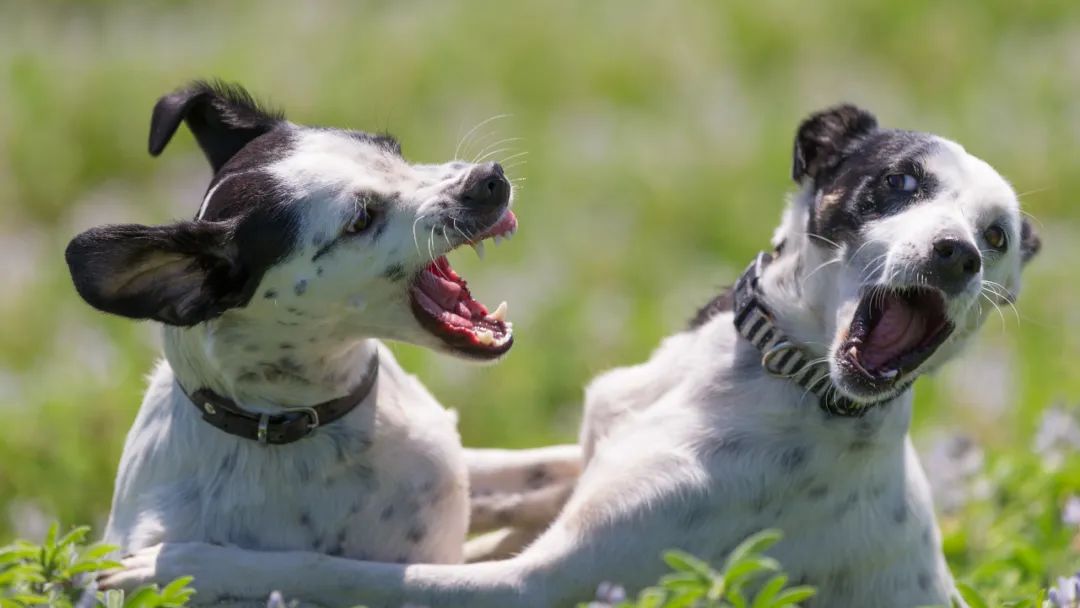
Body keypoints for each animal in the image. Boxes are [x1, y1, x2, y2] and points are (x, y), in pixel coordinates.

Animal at [105, 104, 1041, 608]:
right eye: (900, 185)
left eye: (998, 237)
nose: (959, 254)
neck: (770, 376)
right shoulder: (577, 469)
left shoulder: (534, 584)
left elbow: (317, 568)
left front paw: (173, 563)